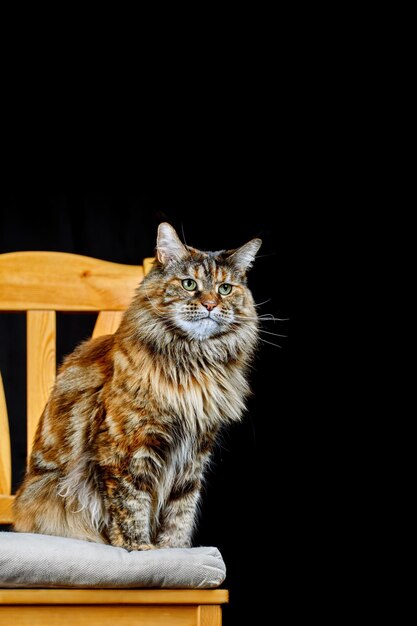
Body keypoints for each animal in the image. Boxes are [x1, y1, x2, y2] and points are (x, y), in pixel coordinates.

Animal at [14, 222, 262, 548]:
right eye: (189, 284)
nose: (210, 304)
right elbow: (131, 503)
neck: (192, 363)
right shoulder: (128, 446)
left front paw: (173, 549)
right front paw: (140, 547)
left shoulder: (195, 452)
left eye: (225, 289)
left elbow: (181, 510)